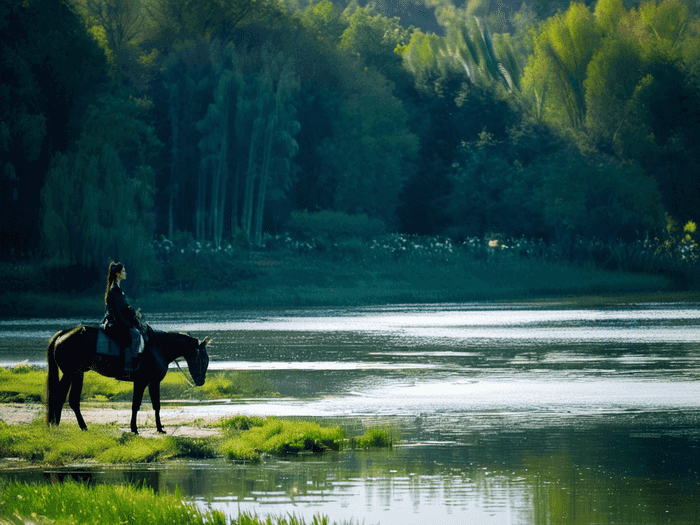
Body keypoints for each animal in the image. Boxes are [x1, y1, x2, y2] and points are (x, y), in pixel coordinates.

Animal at [46, 324, 209, 434]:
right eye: (203, 358)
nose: (201, 381)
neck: (158, 347)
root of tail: (63, 334)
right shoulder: (141, 382)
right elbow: (136, 405)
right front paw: (134, 429)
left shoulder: (153, 382)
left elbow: (156, 405)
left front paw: (159, 428)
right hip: (75, 374)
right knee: (73, 399)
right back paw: (83, 426)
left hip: (70, 374)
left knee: (59, 396)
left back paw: (56, 424)